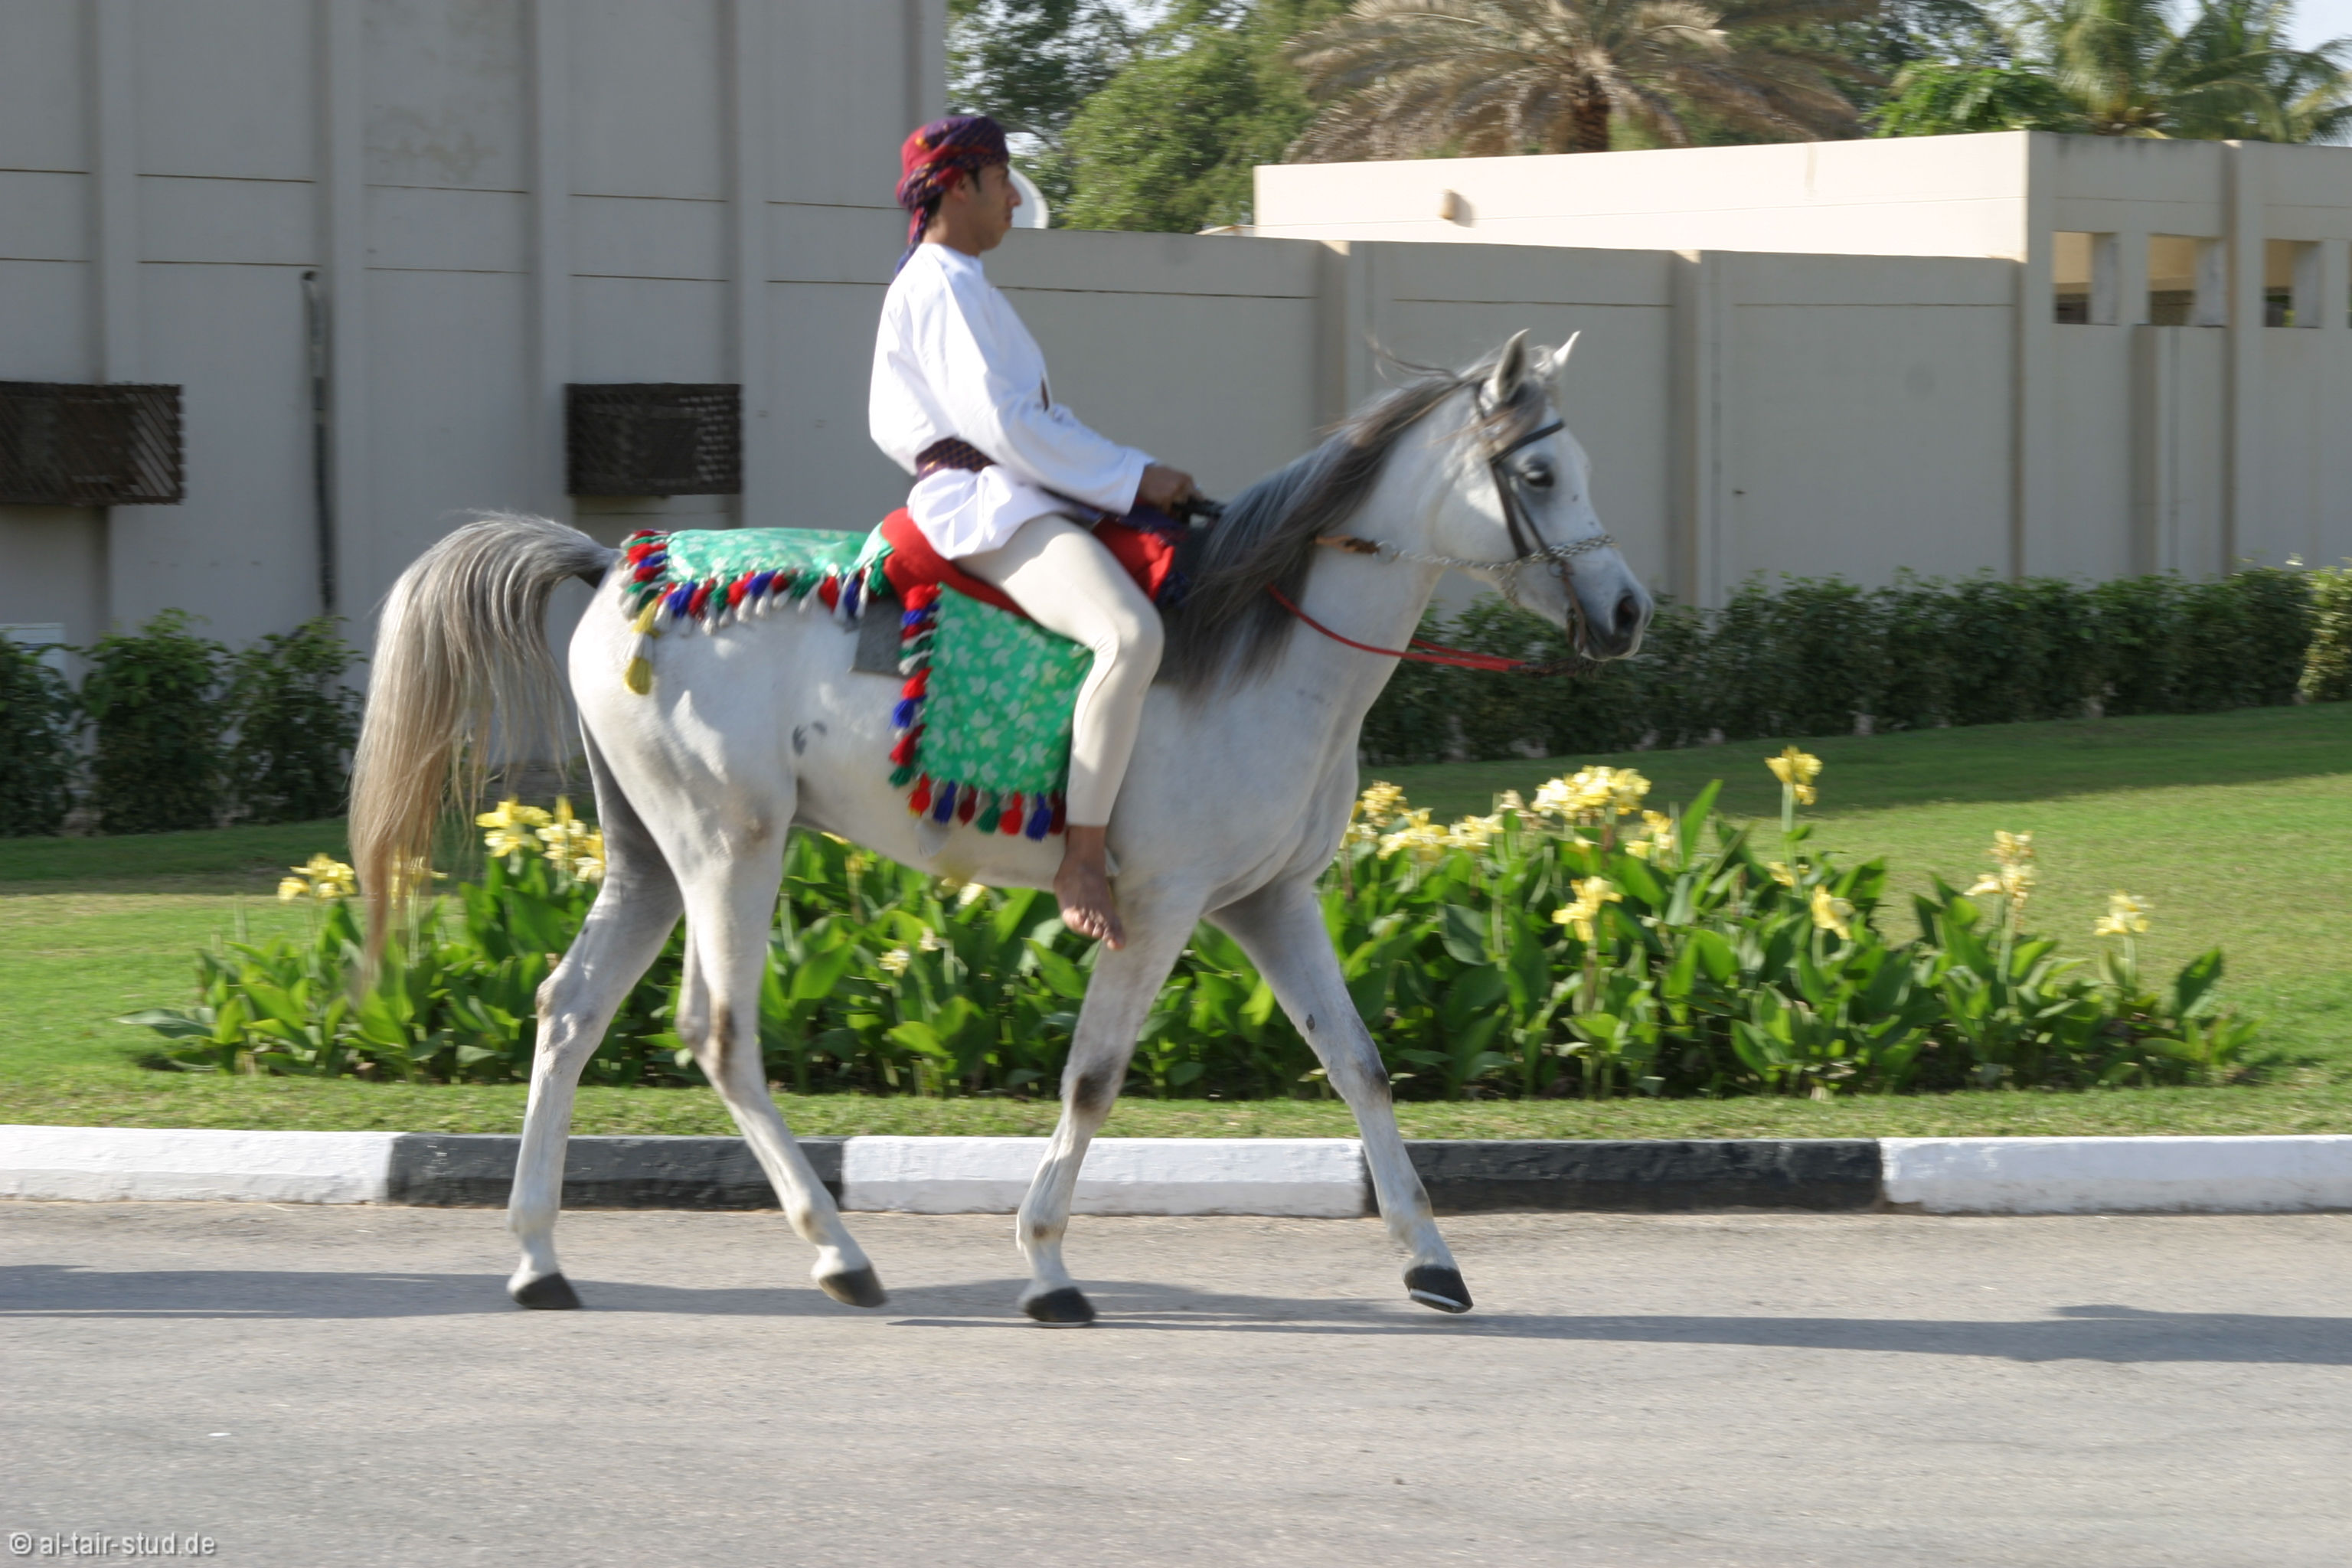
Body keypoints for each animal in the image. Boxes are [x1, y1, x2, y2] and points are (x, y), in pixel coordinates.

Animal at [349, 329, 1653, 1324]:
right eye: (1540, 477)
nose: (1629, 609)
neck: (1270, 648)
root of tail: (621, 560)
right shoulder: (1159, 909)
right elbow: (1093, 1079)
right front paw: (1046, 1265)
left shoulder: (1270, 901)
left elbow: (1362, 1068)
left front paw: (1432, 1260)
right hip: (732, 847)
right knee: (720, 1036)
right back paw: (838, 1255)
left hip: (651, 858)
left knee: (569, 1010)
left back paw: (539, 1258)